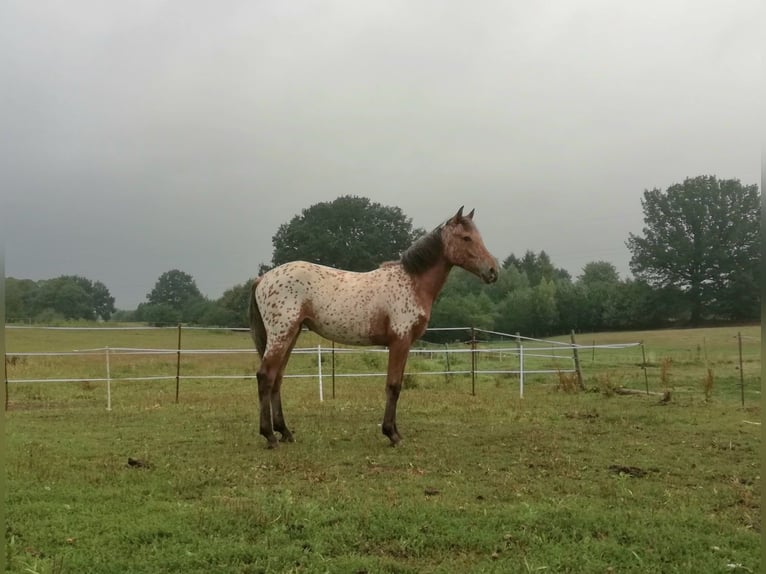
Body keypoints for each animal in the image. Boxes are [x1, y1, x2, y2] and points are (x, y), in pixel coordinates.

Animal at [249, 207, 500, 450]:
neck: (412, 283)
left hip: (291, 335)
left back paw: (285, 433)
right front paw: (392, 435)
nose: (493, 271)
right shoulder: (400, 341)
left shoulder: (404, 344)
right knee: (265, 377)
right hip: (281, 334)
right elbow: (394, 386)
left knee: (277, 378)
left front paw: (395, 432)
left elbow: (396, 385)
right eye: (466, 238)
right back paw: (269, 436)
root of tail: (262, 279)